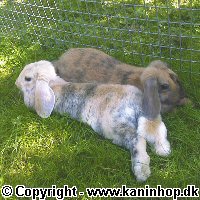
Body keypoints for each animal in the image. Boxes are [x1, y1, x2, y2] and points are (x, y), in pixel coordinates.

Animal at [16, 60, 172, 181]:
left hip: (119, 126)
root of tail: (135, 102)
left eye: (27, 78)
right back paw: (163, 150)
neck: (53, 84)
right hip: (150, 117)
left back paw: (141, 172)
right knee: (157, 129)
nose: (16, 83)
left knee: (138, 140)